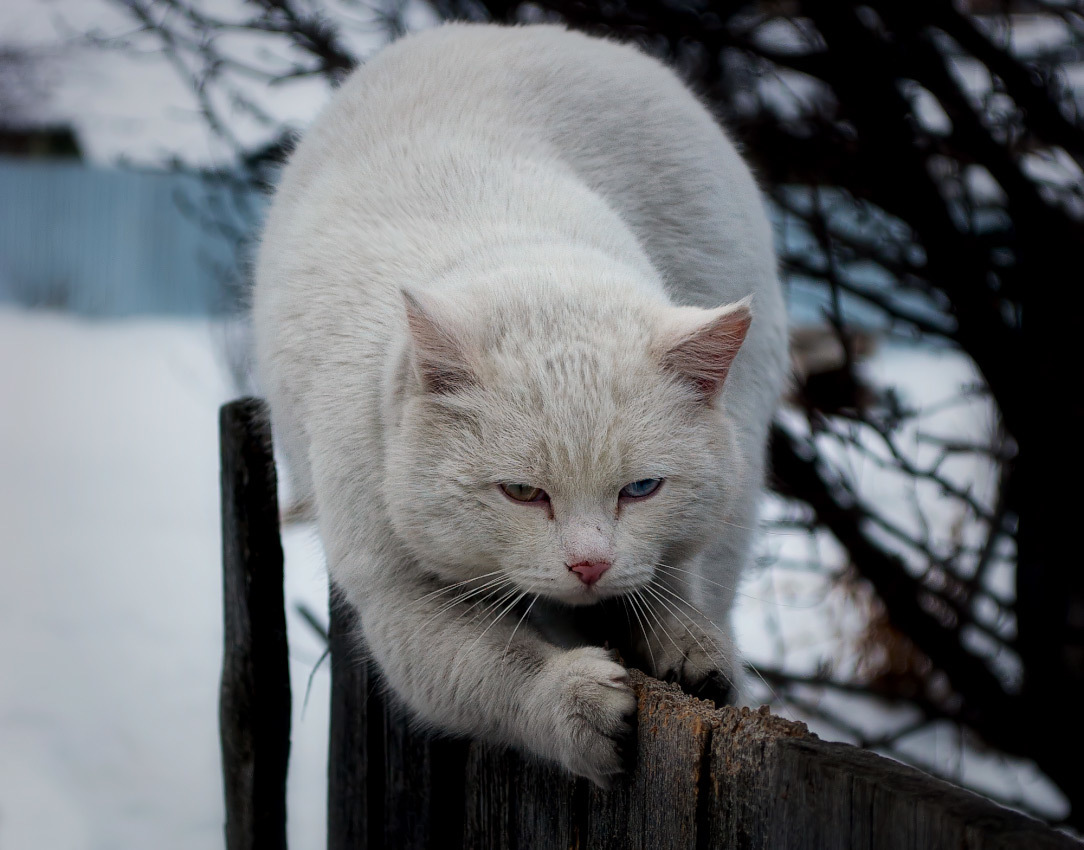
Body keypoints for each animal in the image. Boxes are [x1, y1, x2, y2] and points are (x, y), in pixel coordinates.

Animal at [250, 23, 784, 784]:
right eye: (522, 492)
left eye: (642, 489)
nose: (588, 566)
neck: (512, 243)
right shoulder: (394, 600)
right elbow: (494, 669)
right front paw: (575, 701)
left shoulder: (674, 543)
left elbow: (666, 582)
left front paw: (689, 645)